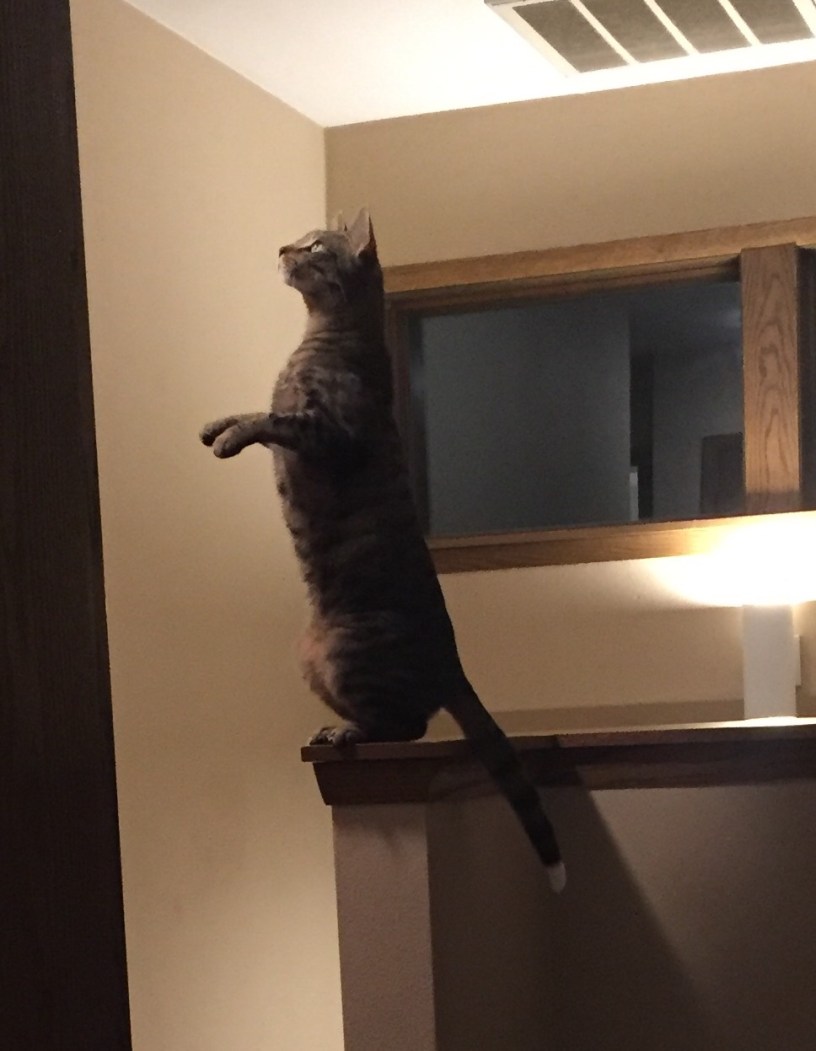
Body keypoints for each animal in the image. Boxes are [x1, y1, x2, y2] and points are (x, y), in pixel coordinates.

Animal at [200, 208, 565, 892]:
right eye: (298, 238)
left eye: (315, 246)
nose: (282, 247)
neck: (322, 333)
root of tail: (452, 662)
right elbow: (252, 406)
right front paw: (217, 425)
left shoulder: (329, 431)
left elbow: (270, 419)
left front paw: (233, 437)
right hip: (311, 659)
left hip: (347, 653)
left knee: (407, 726)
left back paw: (347, 732)